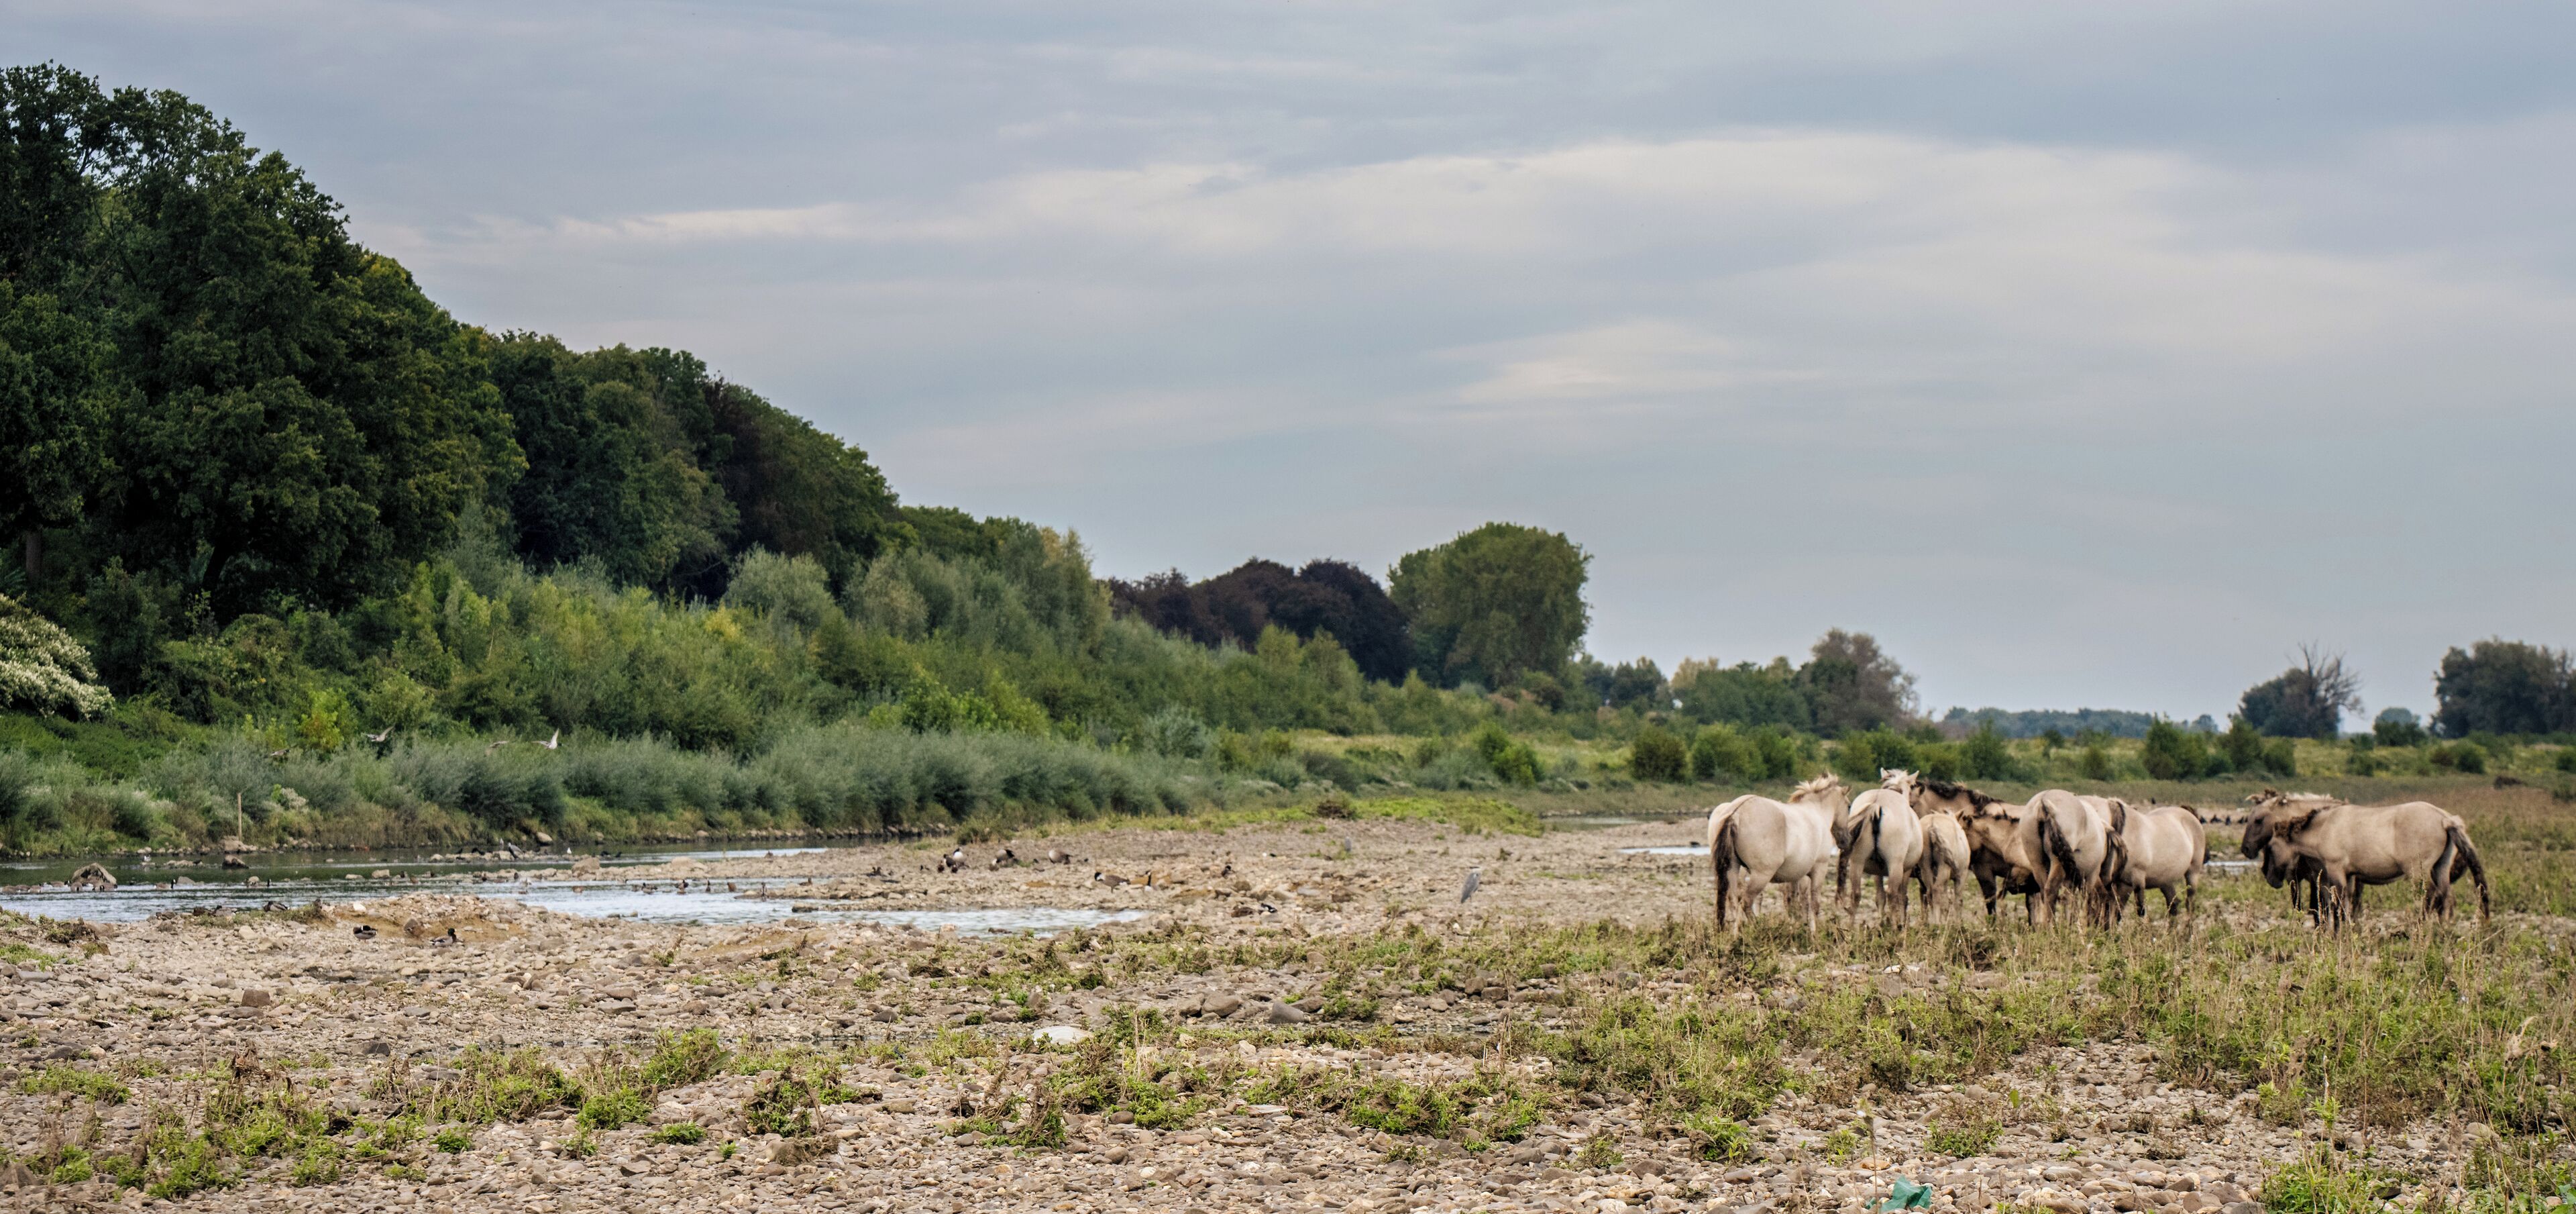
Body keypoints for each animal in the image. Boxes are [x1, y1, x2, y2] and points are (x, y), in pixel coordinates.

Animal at [1708, 773, 1847, 932]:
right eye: (1849, 805)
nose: (1845, 840)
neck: (1816, 812)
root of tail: (1736, 813)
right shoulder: (1819, 869)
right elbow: (1813, 904)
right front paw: (1813, 933)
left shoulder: (1800, 875)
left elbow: (1798, 902)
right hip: (1761, 875)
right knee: (1747, 902)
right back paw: (1759, 928)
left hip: (1732, 870)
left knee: (1734, 902)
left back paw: (1735, 935)